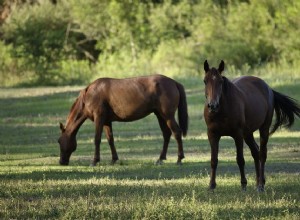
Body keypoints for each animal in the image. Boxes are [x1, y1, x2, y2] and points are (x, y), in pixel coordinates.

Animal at [58, 74, 188, 165]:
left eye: (59, 141)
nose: (62, 162)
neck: (89, 96)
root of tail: (174, 82)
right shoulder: (107, 121)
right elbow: (110, 139)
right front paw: (113, 160)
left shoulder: (99, 119)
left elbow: (97, 139)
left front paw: (95, 161)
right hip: (160, 116)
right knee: (166, 134)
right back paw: (160, 159)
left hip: (168, 116)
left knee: (177, 132)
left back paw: (179, 159)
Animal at [203, 59, 298, 191]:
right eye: (205, 81)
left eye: (221, 81)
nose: (212, 105)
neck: (222, 110)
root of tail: (268, 88)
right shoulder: (212, 135)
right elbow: (213, 160)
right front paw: (211, 186)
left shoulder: (237, 135)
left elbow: (240, 159)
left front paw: (243, 184)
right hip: (247, 134)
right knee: (255, 152)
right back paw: (259, 181)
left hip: (263, 129)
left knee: (262, 154)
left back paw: (261, 186)